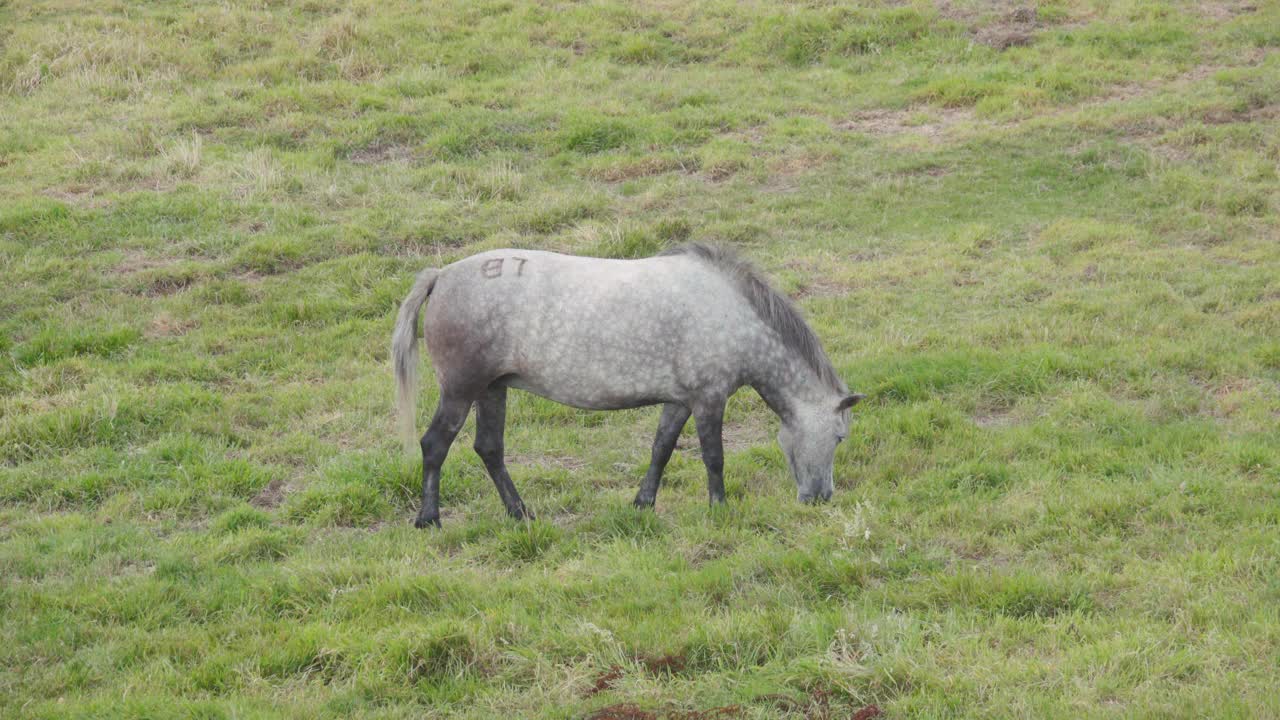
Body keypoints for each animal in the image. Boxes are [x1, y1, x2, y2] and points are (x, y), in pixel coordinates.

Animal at [394, 243, 865, 525]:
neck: (732, 312)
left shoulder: (680, 401)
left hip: (493, 389)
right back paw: (429, 519)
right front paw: (719, 508)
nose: (821, 497)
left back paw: (520, 512)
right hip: (460, 391)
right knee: (435, 445)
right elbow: (714, 457)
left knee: (489, 449)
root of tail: (441, 276)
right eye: (839, 437)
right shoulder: (709, 400)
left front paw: (643, 503)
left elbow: (661, 449)